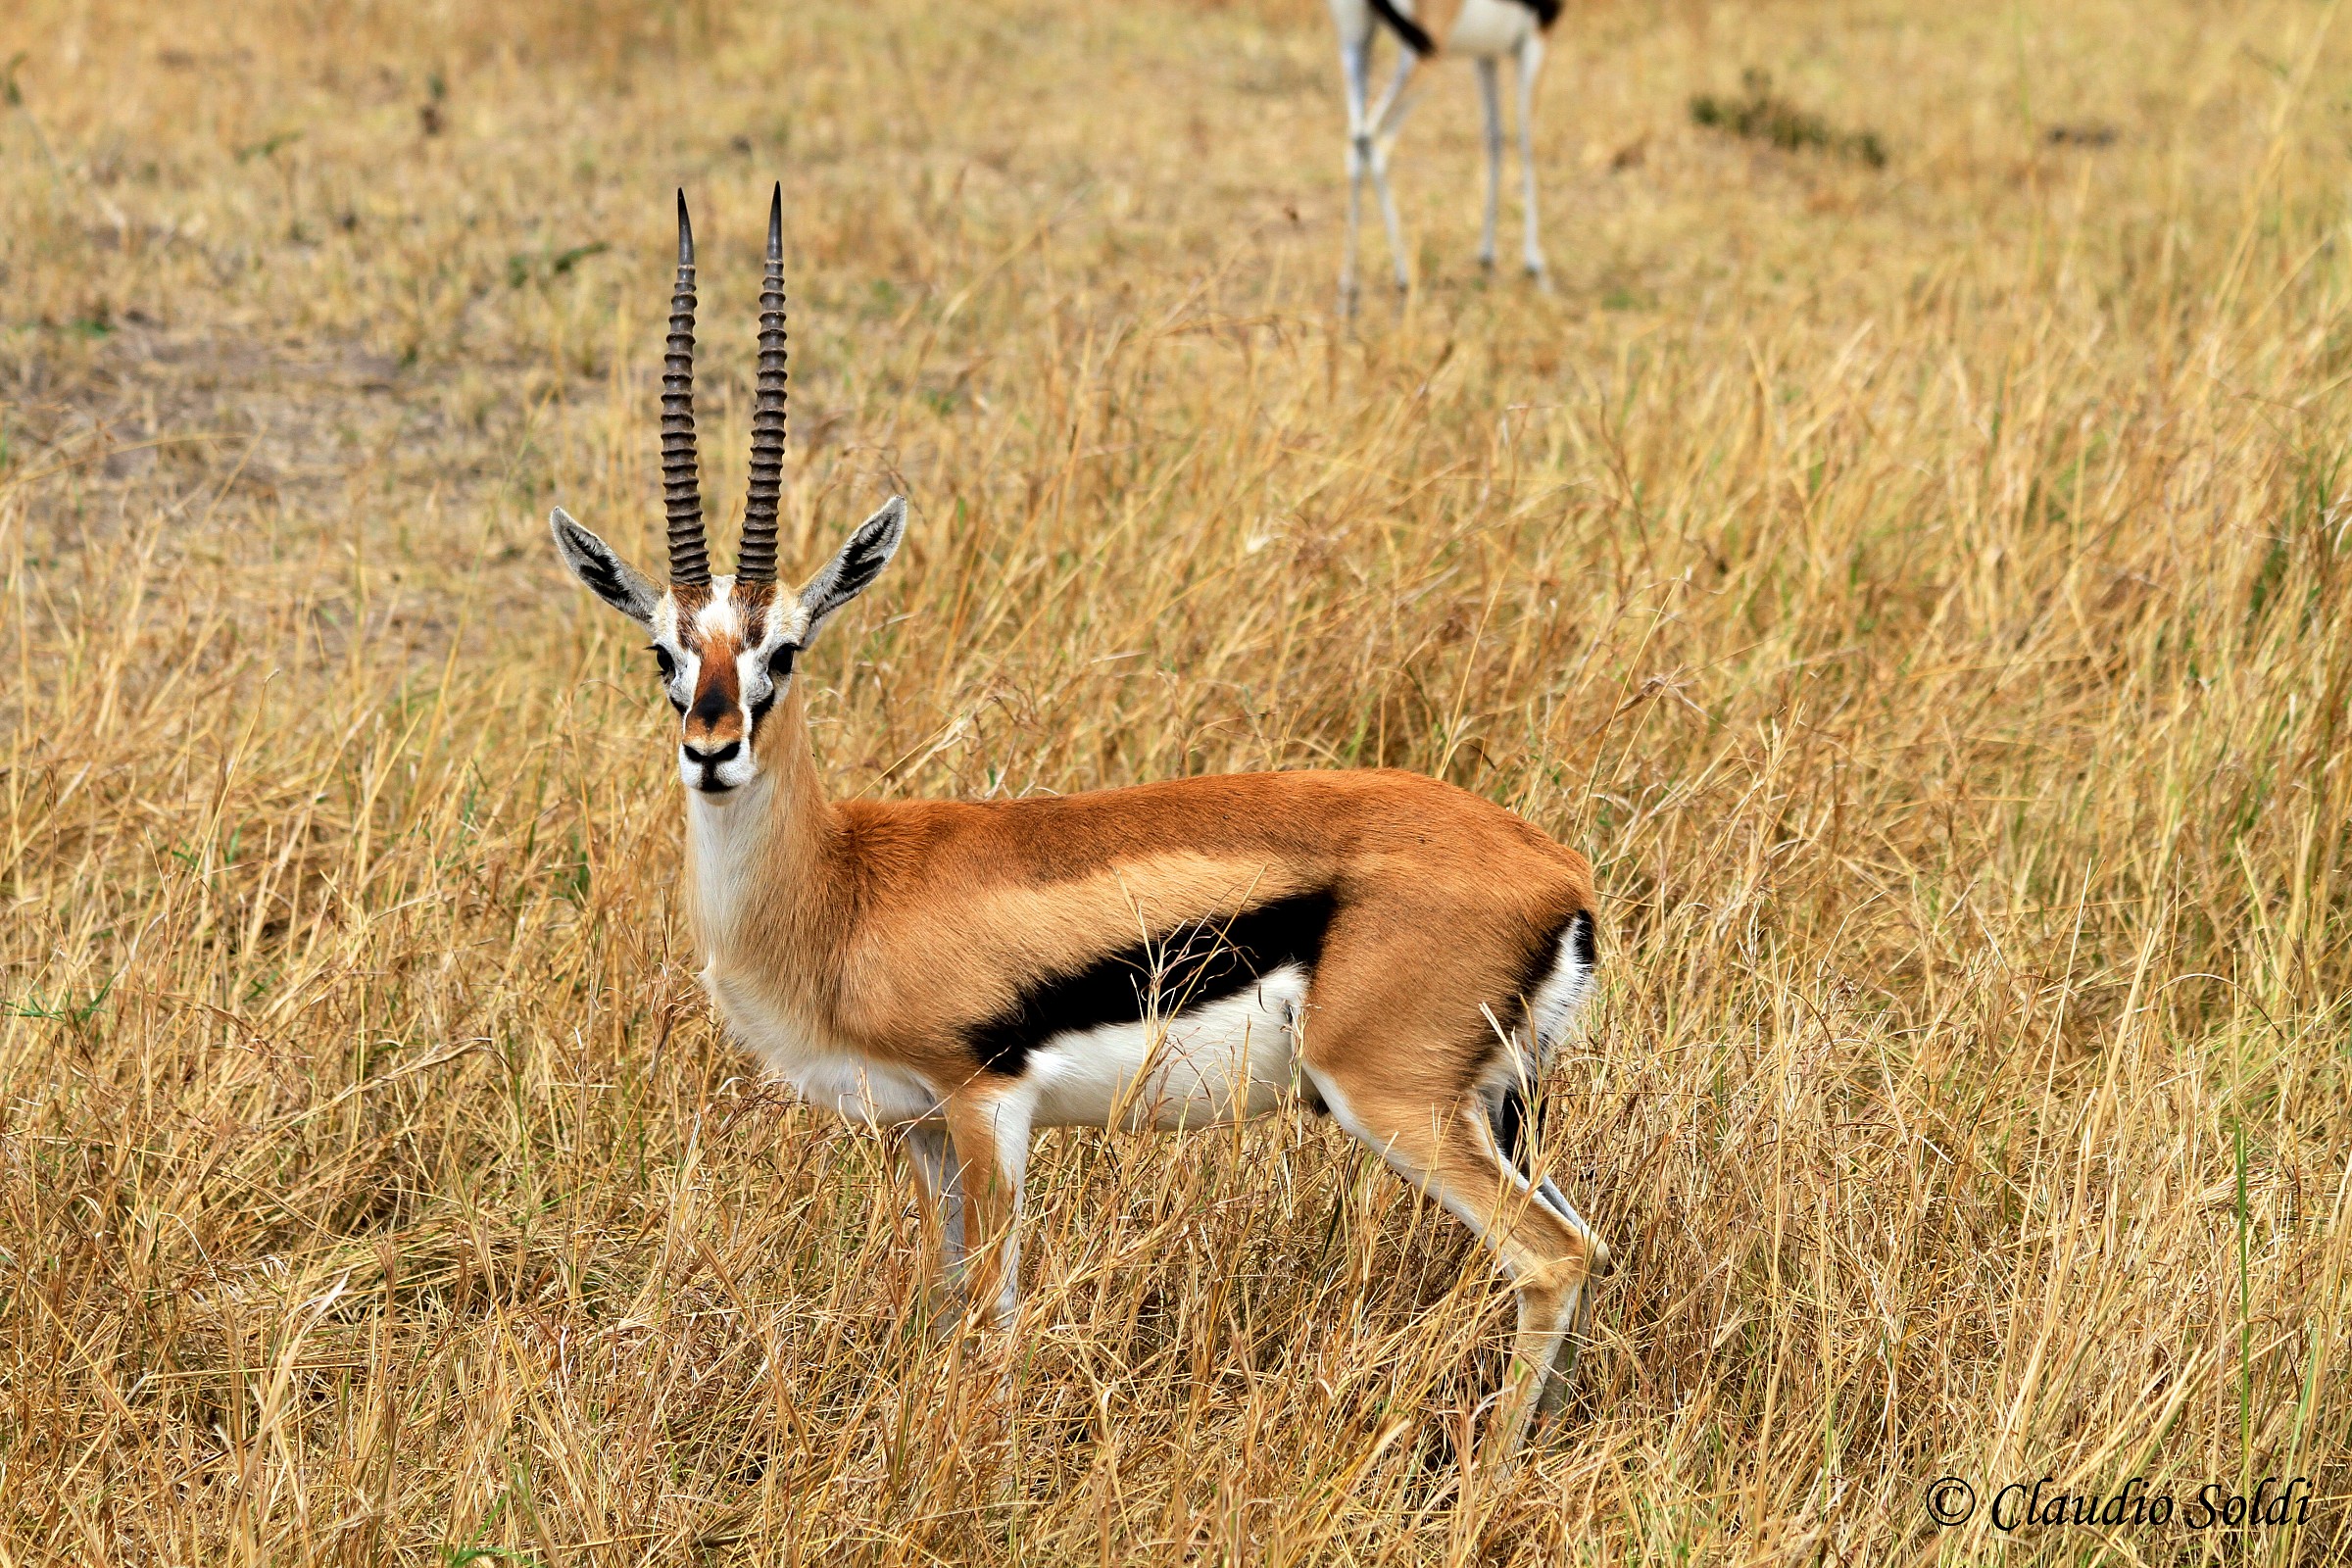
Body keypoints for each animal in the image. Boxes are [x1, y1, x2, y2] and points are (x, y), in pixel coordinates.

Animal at [549, 188, 1612, 1459]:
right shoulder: (920, 1130)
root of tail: (1558, 871)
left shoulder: (987, 1104)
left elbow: (994, 1314)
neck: (843, 886)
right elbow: (945, 1299)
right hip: (1493, 1106)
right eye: (664, 653)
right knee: (1584, 1241)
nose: (713, 751)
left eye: (785, 651)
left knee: (1551, 1255)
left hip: (1392, 1099)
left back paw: (1492, 1468)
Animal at [1329, 0, 1562, 307]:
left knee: (1355, 138)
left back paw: (1349, 289)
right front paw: (1536, 268)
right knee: (1374, 136)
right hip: (1424, 53)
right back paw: (1403, 280)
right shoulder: (1536, 40)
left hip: (1356, 43)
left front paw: (1487, 258)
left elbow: (1494, 138)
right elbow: (1527, 142)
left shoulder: (1486, 56)